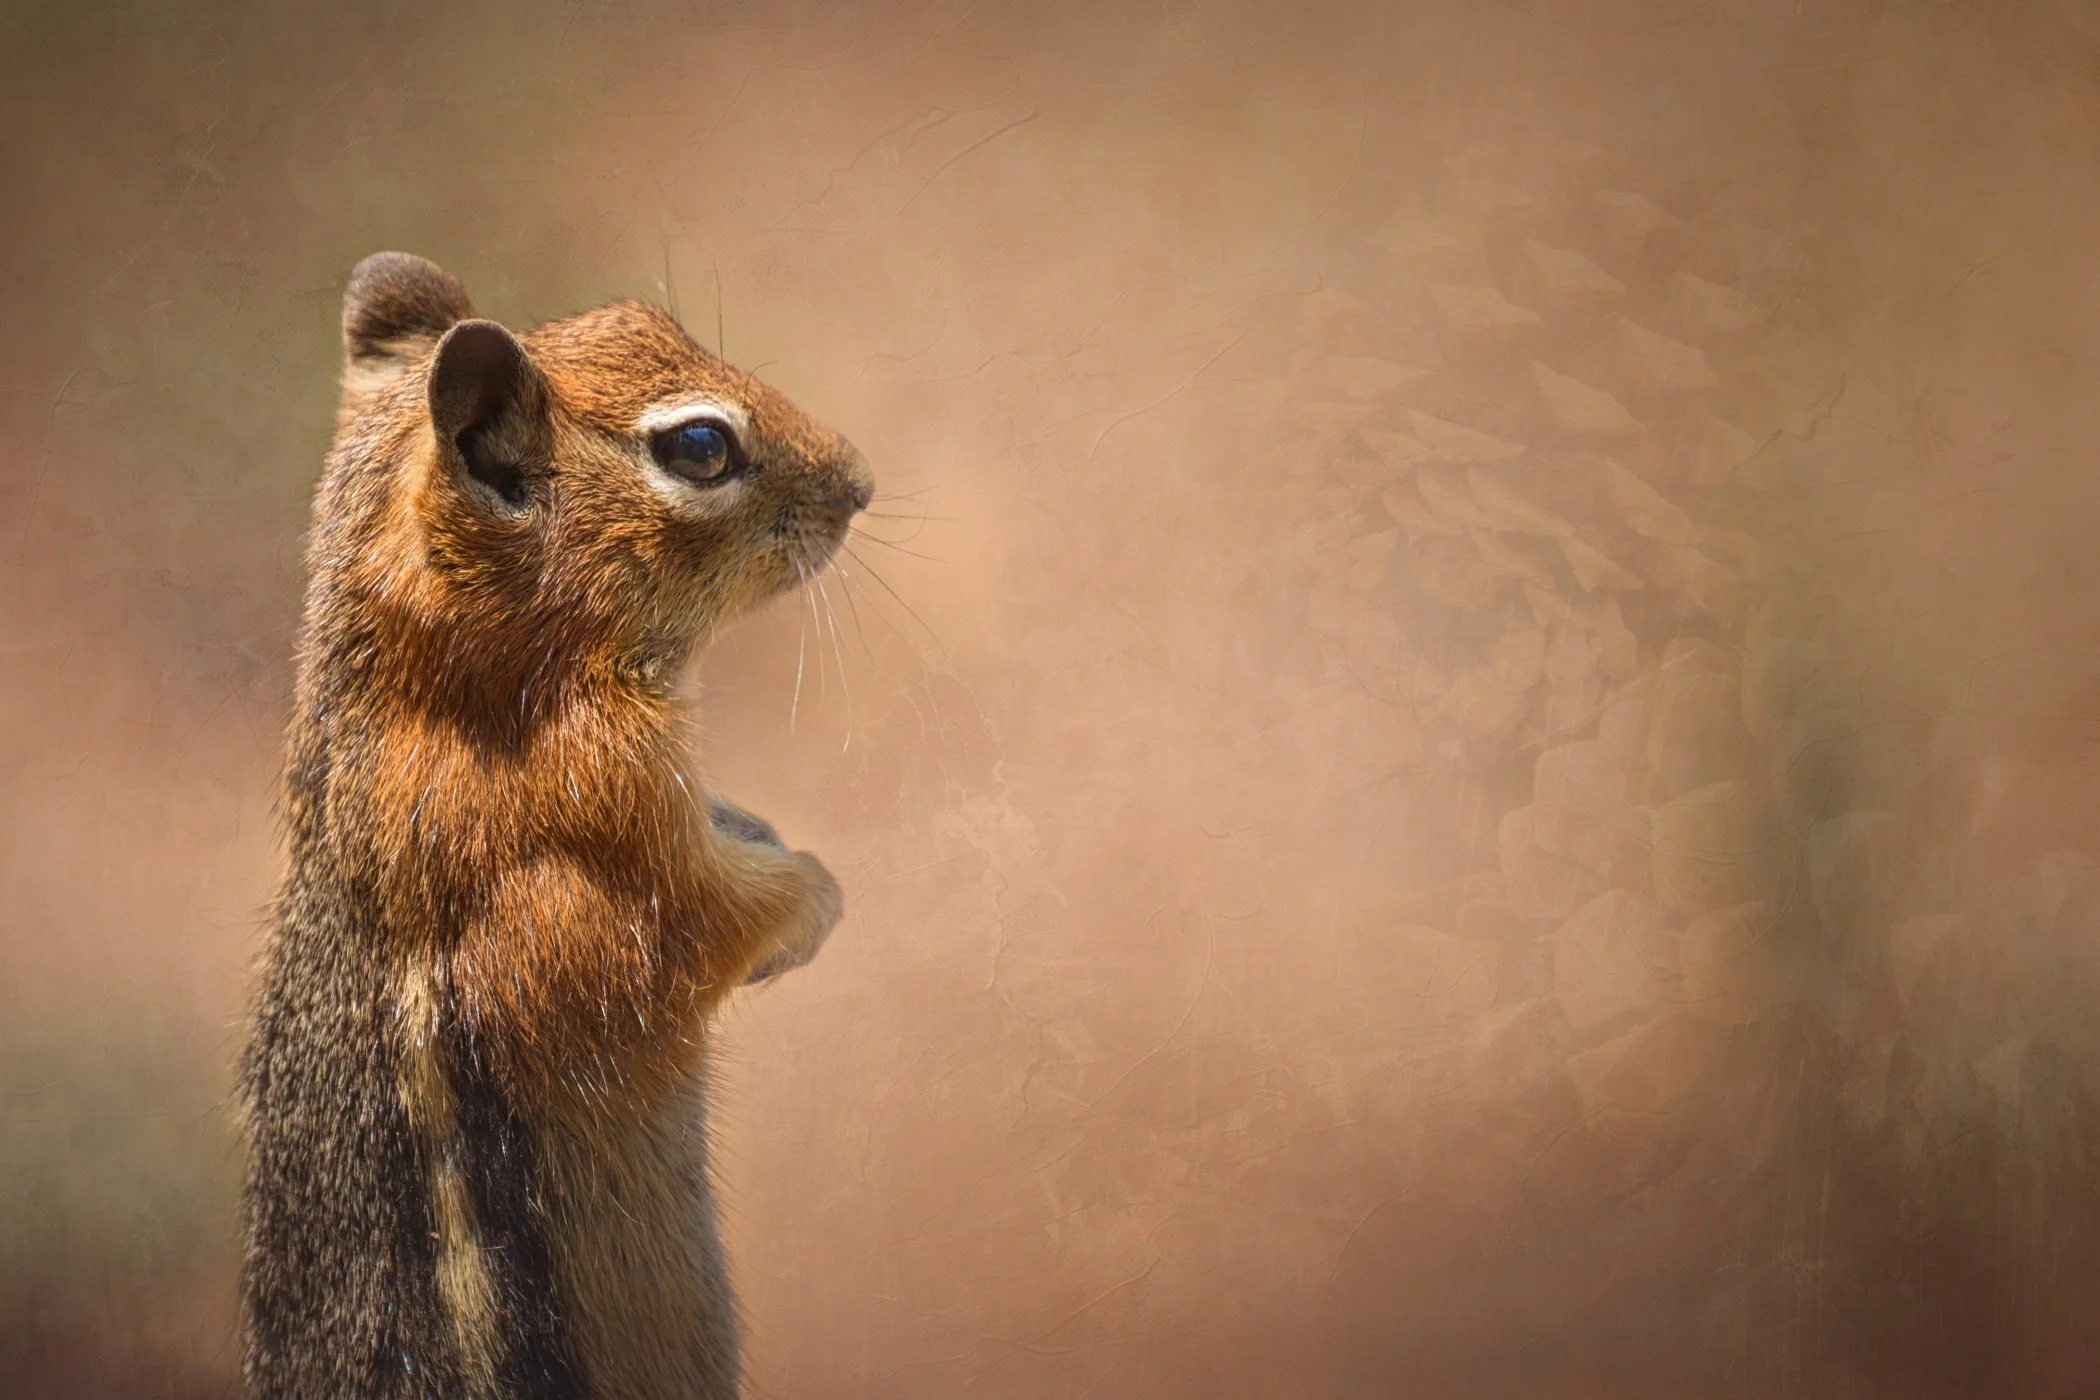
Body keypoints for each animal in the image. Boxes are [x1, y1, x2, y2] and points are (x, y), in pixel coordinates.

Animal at [237, 252, 871, 1399]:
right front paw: (812, 898)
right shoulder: (602, 832)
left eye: (644, 315)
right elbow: (702, 924)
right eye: (701, 447)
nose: (859, 482)